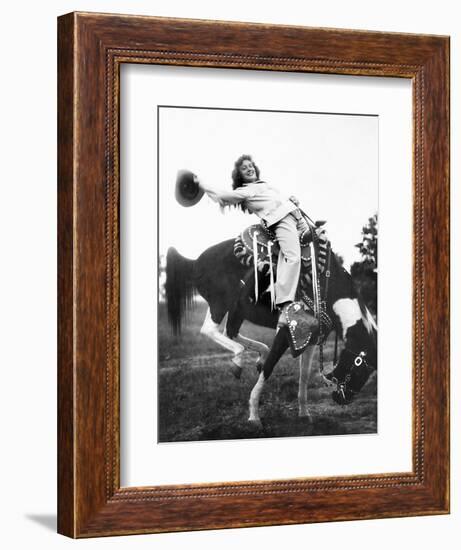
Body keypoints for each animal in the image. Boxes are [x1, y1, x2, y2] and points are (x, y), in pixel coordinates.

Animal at [165, 239, 378, 424]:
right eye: (361, 368)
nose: (343, 399)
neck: (323, 286)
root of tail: (195, 262)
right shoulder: (285, 332)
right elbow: (269, 368)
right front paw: (253, 416)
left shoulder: (310, 339)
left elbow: (304, 376)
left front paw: (304, 414)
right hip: (220, 304)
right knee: (210, 330)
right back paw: (239, 361)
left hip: (237, 310)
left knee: (230, 332)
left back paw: (257, 354)